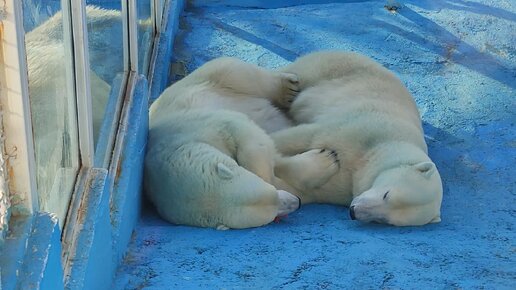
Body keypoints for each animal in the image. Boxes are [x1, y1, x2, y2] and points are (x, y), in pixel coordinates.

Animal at [145, 57, 338, 229]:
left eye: (268, 190)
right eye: (270, 215)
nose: (296, 202)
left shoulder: (199, 125)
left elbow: (248, 137)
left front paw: (326, 160)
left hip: (209, 81)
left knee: (240, 73)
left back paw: (288, 88)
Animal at [274, 51, 444, 225]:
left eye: (385, 221)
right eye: (387, 194)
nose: (353, 211)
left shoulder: (345, 186)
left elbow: (309, 190)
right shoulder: (359, 128)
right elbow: (303, 137)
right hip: (329, 68)